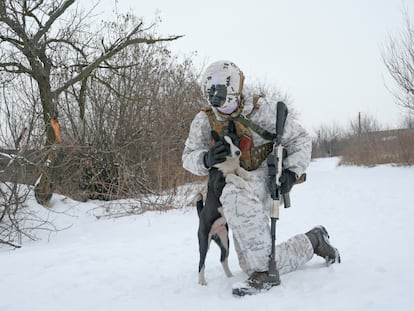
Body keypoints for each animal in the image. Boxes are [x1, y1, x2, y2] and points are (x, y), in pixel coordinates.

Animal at [196, 120, 251, 286]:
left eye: (235, 141)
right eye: (225, 146)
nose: (238, 152)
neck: (228, 162)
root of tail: (201, 215)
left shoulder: (235, 167)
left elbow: (238, 170)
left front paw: (246, 174)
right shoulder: (218, 185)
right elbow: (230, 176)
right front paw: (240, 182)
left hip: (224, 239)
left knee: (223, 259)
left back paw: (230, 277)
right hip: (204, 241)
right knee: (201, 263)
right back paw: (201, 281)